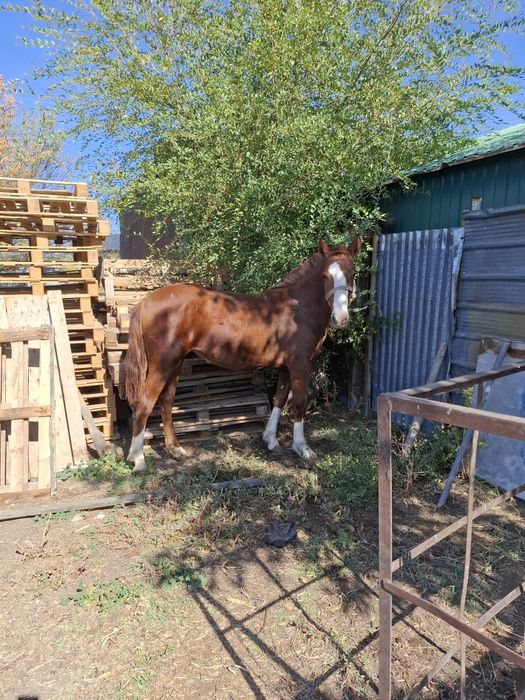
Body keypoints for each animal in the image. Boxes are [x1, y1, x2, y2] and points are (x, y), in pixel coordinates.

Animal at [125, 239, 360, 472]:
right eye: (325, 276)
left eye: (353, 273)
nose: (340, 318)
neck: (298, 309)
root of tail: (146, 302)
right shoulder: (300, 365)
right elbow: (299, 403)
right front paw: (302, 448)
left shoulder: (285, 367)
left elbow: (279, 398)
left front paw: (270, 440)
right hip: (161, 365)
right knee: (144, 404)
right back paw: (138, 459)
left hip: (175, 364)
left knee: (166, 402)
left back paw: (175, 449)